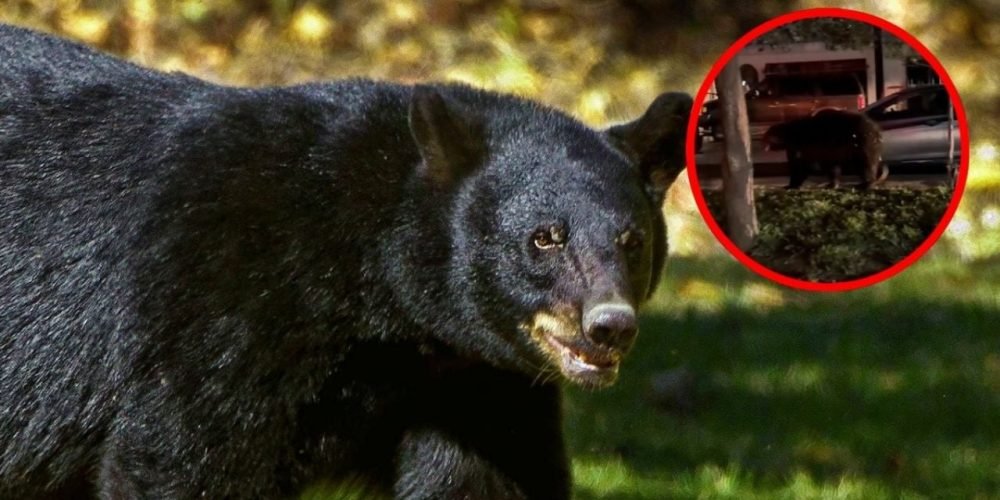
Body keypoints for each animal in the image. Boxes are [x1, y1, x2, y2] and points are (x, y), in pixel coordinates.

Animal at [0, 23, 691, 499]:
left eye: (633, 241)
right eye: (545, 237)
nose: (609, 325)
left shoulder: (472, 378)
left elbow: (490, 476)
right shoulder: (217, 305)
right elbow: (186, 457)